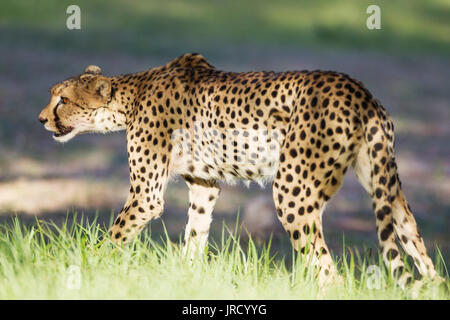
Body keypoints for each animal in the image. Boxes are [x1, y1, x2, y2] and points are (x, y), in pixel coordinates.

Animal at [38, 53, 440, 290]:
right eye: (53, 96)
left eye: (62, 100)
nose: (41, 119)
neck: (129, 96)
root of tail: (358, 89)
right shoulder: (204, 184)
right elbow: (195, 234)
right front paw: (187, 278)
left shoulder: (146, 195)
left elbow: (113, 237)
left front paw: (83, 267)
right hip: (385, 187)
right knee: (413, 239)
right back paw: (434, 285)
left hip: (292, 193)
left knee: (329, 273)